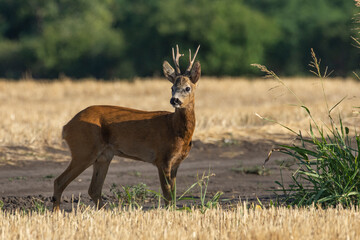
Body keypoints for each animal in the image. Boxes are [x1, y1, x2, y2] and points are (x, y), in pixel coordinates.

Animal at [52, 45, 201, 210]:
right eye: (172, 87)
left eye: (187, 88)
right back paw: (57, 213)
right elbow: (167, 196)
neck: (176, 130)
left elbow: (173, 196)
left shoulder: (175, 162)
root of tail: (66, 126)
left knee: (93, 189)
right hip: (83, 149)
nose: (174, 100)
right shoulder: (162, 159)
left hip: (104, 156)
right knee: (59, 181)